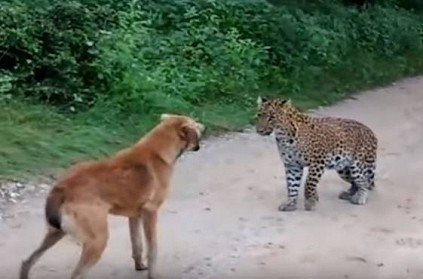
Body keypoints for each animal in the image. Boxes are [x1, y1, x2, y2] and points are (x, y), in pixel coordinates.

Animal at [19, 114, 205, 279]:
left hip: (55, 233)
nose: (203, 126)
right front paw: (152, 274)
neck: (157, 151)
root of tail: (62, 187)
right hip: (97, 240)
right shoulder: (150, 212)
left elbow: (137, 245)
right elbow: (153, 250)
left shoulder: (135, 216)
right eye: (195, 126)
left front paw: (139, 266)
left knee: (27, 261)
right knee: (76, 274)